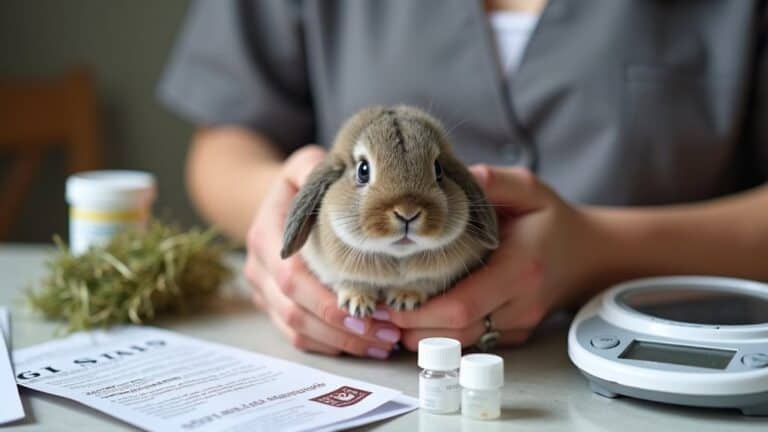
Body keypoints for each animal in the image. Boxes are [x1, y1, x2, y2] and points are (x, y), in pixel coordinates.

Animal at [280, 105, 499, 318]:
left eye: (438, 170)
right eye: (363, 170)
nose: (407, 213)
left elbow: (420, 284)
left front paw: (404, 300)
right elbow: (349, 283)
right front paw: (358, 305)